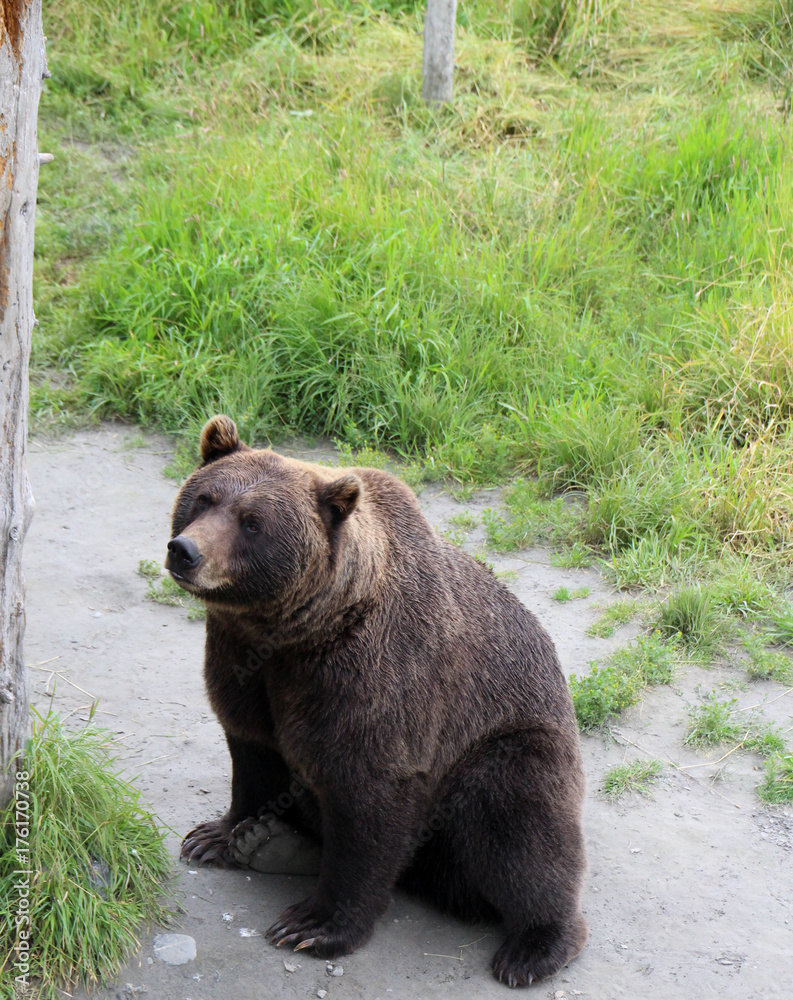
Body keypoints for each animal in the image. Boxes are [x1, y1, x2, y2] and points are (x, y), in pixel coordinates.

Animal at [167, 415, 588, 988]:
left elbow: (370, 796)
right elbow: (253, 752)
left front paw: (314, 925)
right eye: (204, 498)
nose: (185, 551)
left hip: (512, 743)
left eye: (252, 522)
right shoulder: (242, 663)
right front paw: (217, 834)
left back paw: (536, 946)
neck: (293, 635)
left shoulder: (374, 679)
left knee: (518, 823)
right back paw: (272, 842)